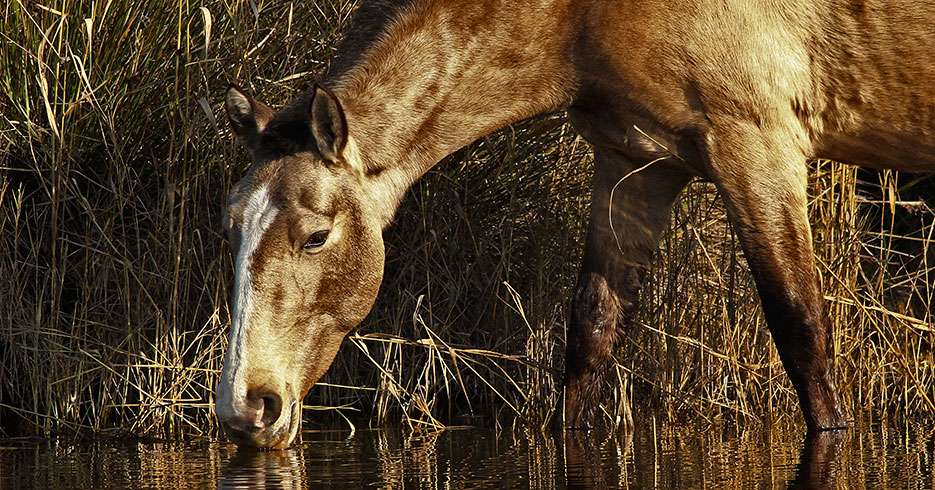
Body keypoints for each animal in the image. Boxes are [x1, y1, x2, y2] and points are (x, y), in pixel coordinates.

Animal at [215, 0, 935, 448]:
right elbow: (590, 333)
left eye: (316, 236)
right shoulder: (634, 164)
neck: (576, 18)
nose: (246, 406)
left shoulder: (757, 147)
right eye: (231, 227)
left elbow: (801, 332)